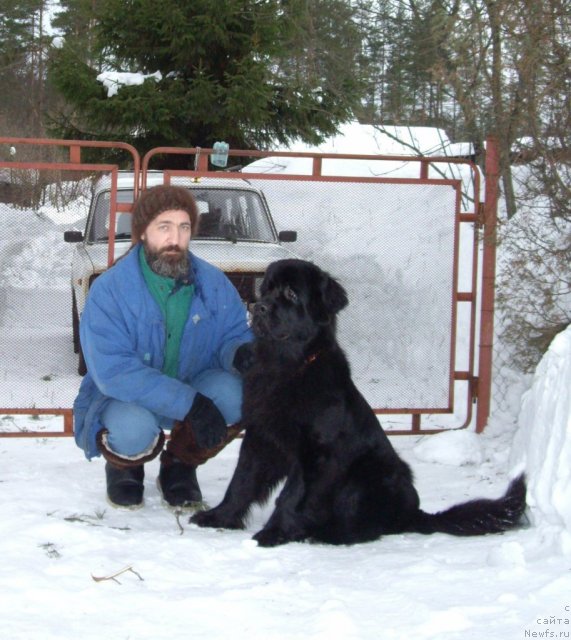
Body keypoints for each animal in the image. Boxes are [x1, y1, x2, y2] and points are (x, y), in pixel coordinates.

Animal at [191, 258, 528, 548]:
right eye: (266, 289)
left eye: (291, 293)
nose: (258, 307)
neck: (288, 366)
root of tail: (413, 513)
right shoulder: (260, 438)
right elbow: (241, 482)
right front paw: (219, 516)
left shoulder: (316, 452)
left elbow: (290, 496)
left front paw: (273, 533)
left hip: (368, 473)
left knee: (366, 527)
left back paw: (325, 533)